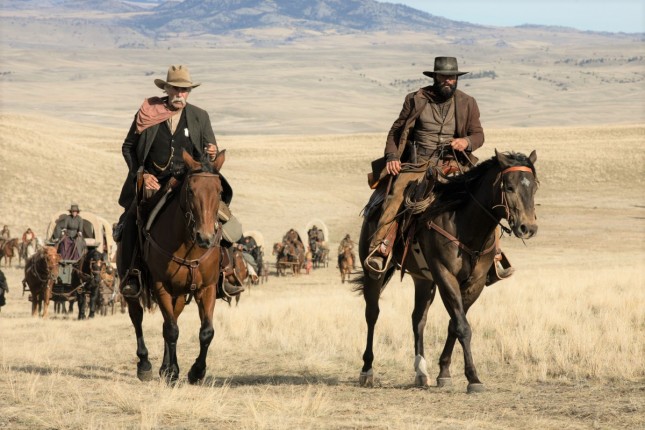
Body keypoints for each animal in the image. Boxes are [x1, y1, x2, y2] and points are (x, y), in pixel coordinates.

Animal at [118, 150, 226, 383]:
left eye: (220, 190)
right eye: (190, 190)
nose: (205, 237)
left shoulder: (207, 288)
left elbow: (206, 331)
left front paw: (196, 372)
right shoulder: (161, 286)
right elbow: (171, 330)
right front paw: (174, 371)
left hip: (180, 293)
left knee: (171, 319)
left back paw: (164, 367)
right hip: (133, 288)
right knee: (138, 317)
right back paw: (145, 365)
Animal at [354, 150, 538, 393]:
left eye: (534, 187)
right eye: (508, 187)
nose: (528, 228)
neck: (465, 224)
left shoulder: (475, 282)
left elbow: (454, 324)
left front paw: (444, 372)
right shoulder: (445, 276)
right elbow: (463, 326)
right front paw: (473, 378)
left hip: (422, 279)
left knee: (418, 318)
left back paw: (421, 372)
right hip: (374, 272)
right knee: (372, 314)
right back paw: (367, 370)